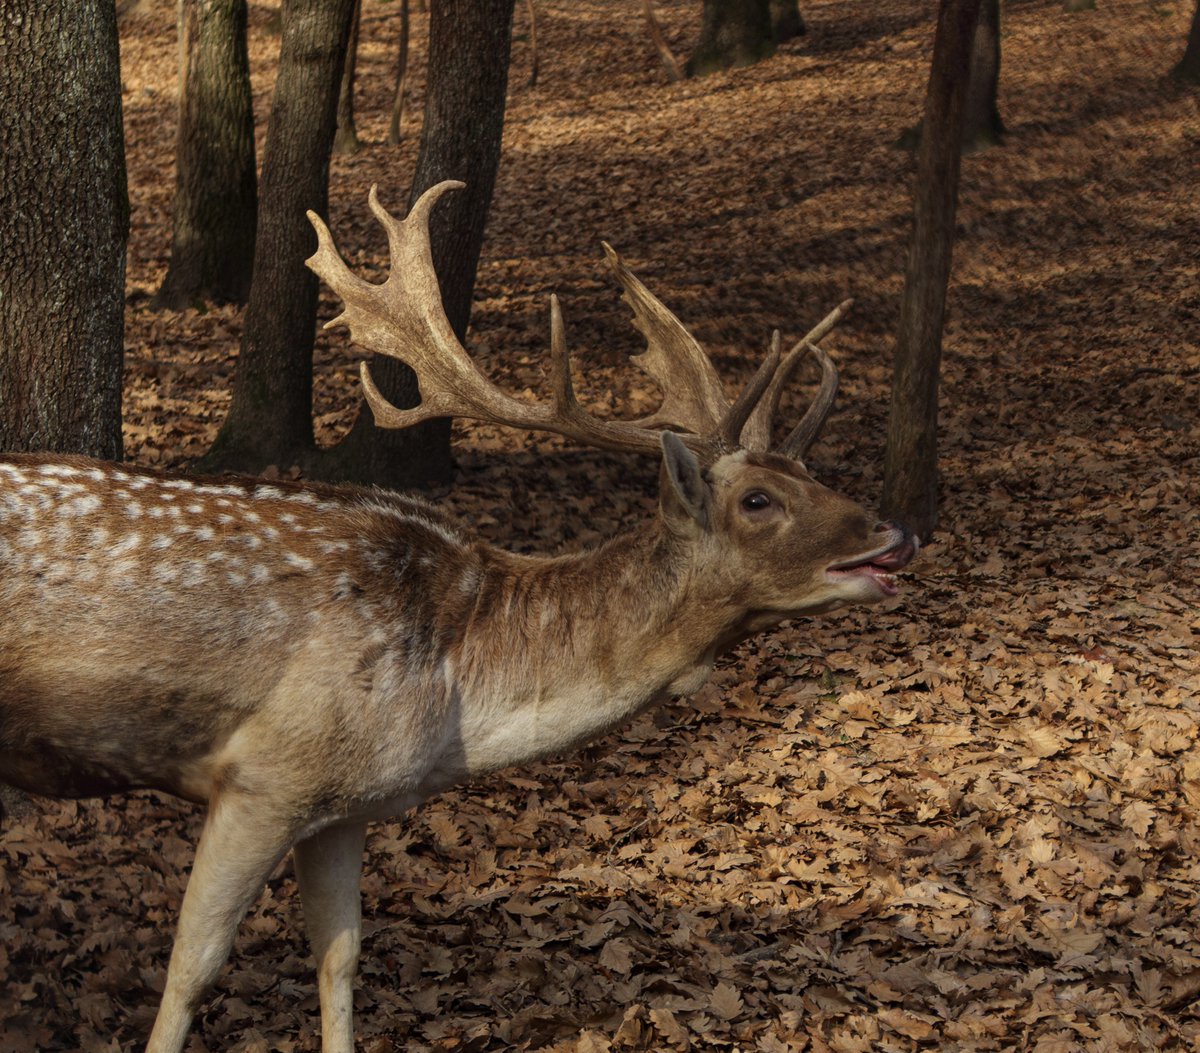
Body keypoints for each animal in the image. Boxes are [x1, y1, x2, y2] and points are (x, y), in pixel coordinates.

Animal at [0, 181, 918, 1053]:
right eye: (758, 499)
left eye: (813, 474)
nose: (894, 534)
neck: (456, 698)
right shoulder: (262, 773)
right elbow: (192, 967)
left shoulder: (343, 804)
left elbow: (340, 958)